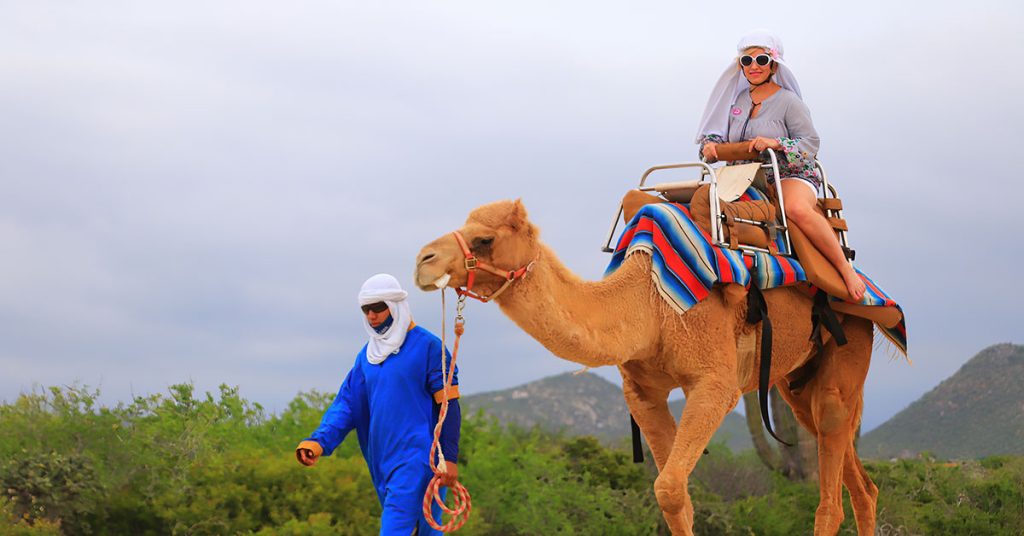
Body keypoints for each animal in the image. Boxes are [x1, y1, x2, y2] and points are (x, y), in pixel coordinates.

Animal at [414, 199, 878, 535]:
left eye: (484, 239)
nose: (423, 260)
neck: (648, 304)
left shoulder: (714, 382)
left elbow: (669, 488)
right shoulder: (642, 392)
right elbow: (678, 496)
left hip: (849, 342)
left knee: (830, 494)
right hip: (795, 384)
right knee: (860, 481)